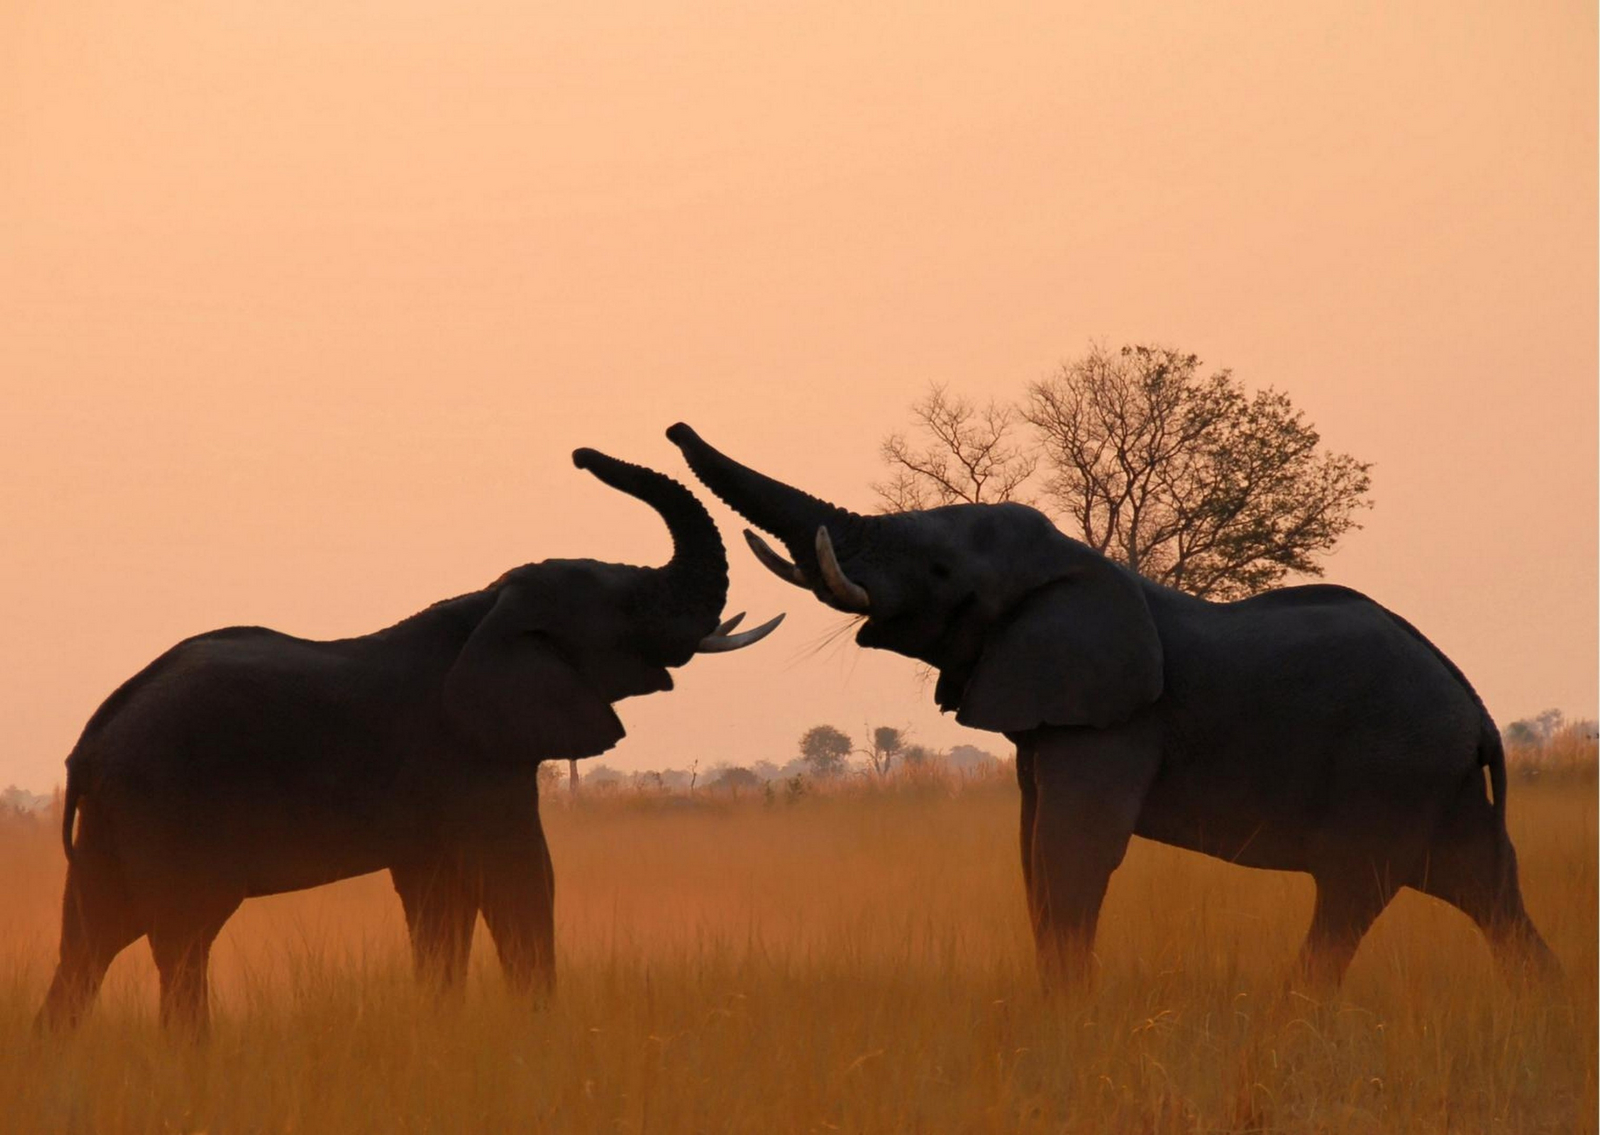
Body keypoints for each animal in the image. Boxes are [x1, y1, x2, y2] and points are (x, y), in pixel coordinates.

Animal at [36, 448, 782, 1035]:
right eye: (631, 604)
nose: (580, 455)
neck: (489, 604)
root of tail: (92, 737)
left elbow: (439, 902)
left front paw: (441, 1028)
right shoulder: (471, 756)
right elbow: (521, 877)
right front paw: (543, 1030)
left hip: (116, 816)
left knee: (91, 936)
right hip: (168, 802)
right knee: (181, 936)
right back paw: (192, 1058)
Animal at [666, 422, 1558, 989]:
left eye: (941, 570)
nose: (674, 427)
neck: (1071, 563)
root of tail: (1476, 706)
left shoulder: (1114, 721)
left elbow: (1073, 850)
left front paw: (1065, 1019)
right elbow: (1032, 851)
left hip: (1392, 766)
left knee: (1354, 892)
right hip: (1437, 782)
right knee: (1486, 885)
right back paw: (1540, 1006)